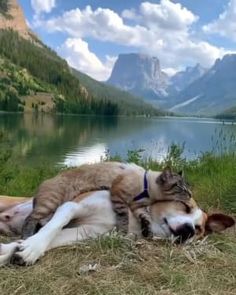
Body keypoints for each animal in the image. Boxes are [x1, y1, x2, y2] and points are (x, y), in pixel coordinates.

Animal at [0, 193, 234, 268]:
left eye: (199, 229)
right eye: (185, 207)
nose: (188, 230)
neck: (132, 218)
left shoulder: (86, 232)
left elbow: (54, 237)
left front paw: (14, 250)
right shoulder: (72, 206)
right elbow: (52, 227)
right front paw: (32, 247)